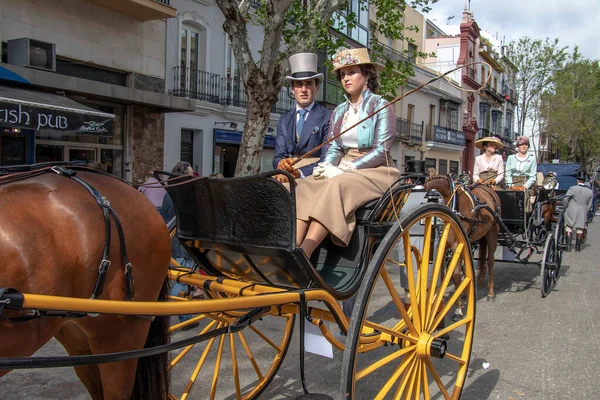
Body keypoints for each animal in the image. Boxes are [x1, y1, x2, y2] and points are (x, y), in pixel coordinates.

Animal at [424, 173, 504, 302]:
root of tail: (488, 187)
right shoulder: (446, 243)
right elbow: (442, 272)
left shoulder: (456, 244)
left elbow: (455, 274)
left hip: (492, 233)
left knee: (490, 261)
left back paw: (490, 292)